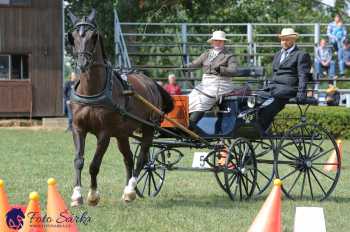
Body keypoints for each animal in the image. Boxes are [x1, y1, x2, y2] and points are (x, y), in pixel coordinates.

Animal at [66, 9, 173, 207]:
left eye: (93, 36)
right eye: (73, 36)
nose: (83, 63)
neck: (93, 90)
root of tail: (151, 82)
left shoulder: (104, 133)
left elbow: (94, 165)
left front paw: (93, 195)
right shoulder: (78, 129)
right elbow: (79, 161)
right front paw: (77, 195)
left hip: (148, 128)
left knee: (142, 158)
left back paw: (130, 189)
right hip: (122, 134)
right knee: (128, 159)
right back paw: (127, 192)